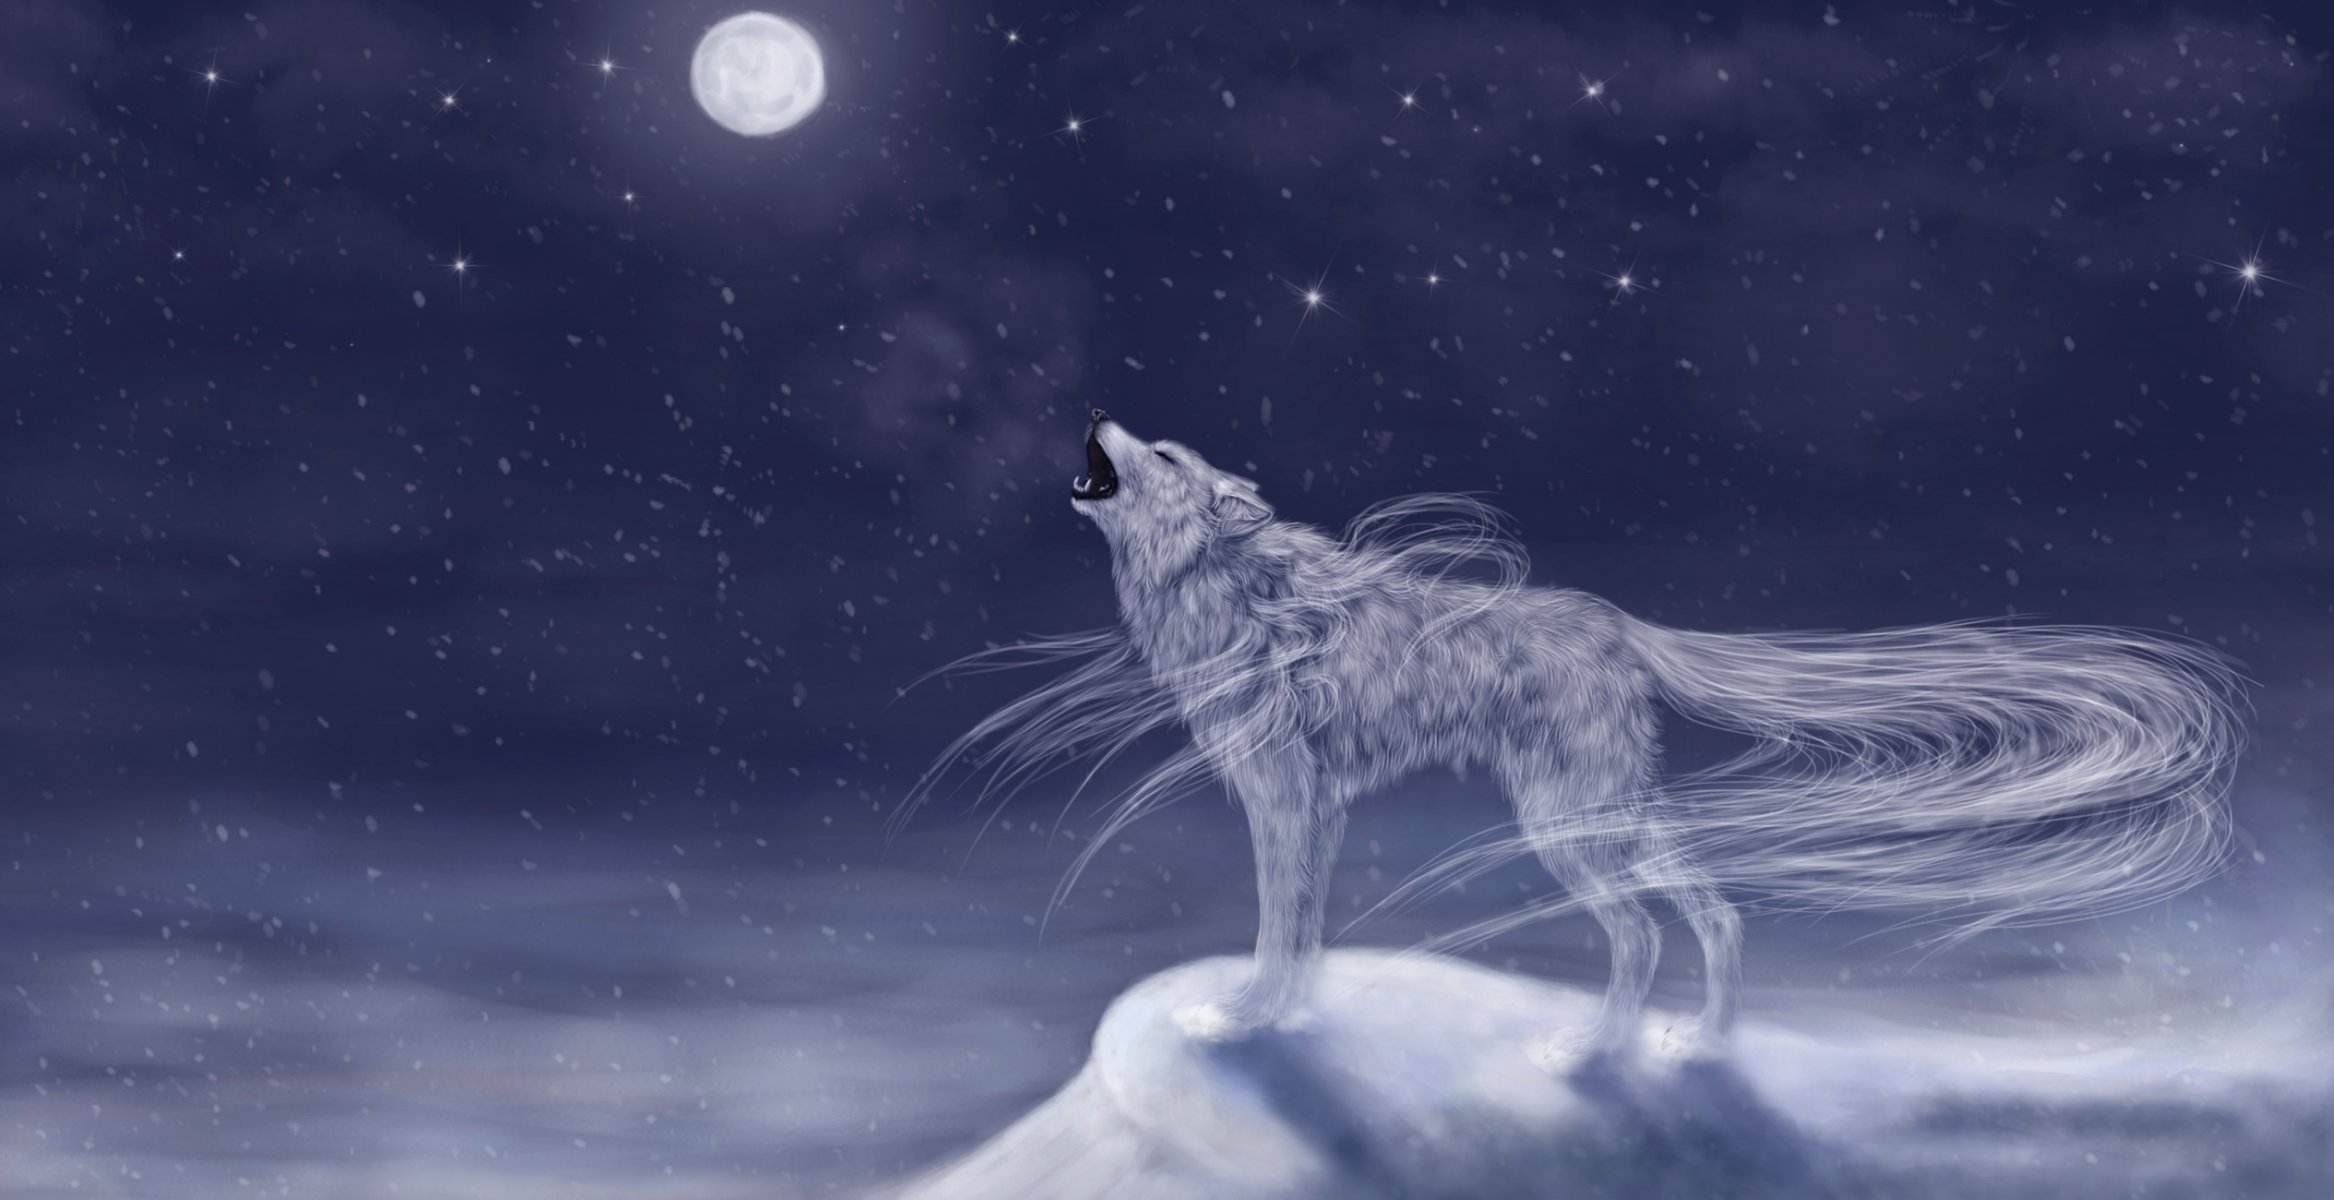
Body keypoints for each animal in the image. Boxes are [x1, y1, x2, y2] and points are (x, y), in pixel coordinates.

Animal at [904, 411, 2243, 1065]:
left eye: (1166, 451)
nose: (1098, 412)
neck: (1221, 582)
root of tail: (1618, 621)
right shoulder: (1311, 811)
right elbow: (1304, 928)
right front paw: (1283, 1015)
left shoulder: (1285, 803)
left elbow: (1281, 927)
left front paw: (1245, 1020)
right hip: (1613, 810)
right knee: (1715, 913)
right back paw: (1698, 1047)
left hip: (1566, 824)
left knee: (1643, 931)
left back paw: (1592, 1054)